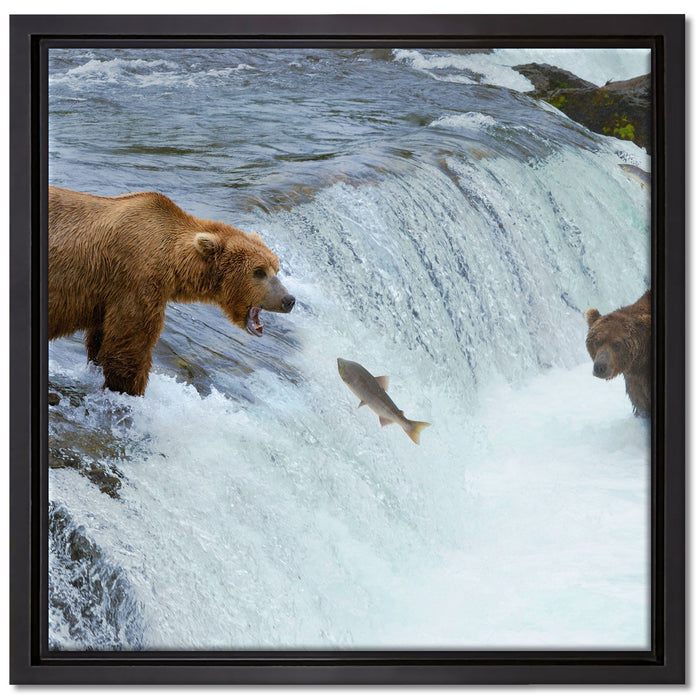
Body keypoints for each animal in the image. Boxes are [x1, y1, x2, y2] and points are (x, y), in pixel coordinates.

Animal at [49, 186, 295, 396]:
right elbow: (130, 347)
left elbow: (101, 339)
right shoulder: (136, 281)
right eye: (259, 271)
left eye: (276, 267)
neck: (173, 262)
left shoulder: (107, 296)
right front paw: (129, 390)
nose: (289, 299)